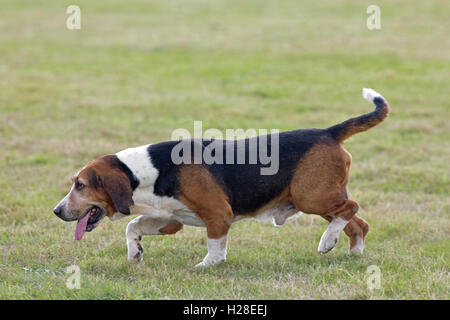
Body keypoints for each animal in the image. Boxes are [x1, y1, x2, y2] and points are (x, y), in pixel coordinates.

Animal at [53, 88, 390, 268]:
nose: (56, 211)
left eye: (80, 185)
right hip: (318, 200)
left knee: (352, 208)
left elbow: (215, 250)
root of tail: (328, 132)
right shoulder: (170, 219)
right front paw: (134, 251)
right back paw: (353, 252)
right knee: (359, 224)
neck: (148, 171)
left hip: (312, 197)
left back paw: (327, 240)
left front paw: (204, 267)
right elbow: (133, 226)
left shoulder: (218, 216)